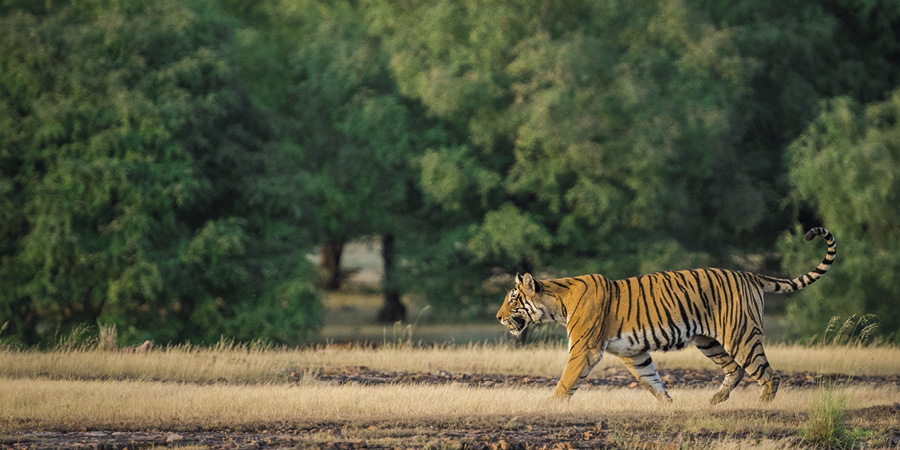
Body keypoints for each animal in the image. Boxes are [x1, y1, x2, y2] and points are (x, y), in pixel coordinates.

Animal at [496, 229, 832, 404]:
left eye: (512, 299)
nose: (498, 317)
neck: (557, 303)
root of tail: (748, 274)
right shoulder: (634, 353)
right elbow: (652, 381)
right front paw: (670, 407)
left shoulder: (583, 350)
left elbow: (566, 381)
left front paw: (550, 407)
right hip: (709, 341)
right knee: (735, 370)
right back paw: (714, 400)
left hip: (741, 336)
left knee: (768, 374)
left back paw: (761, 406)